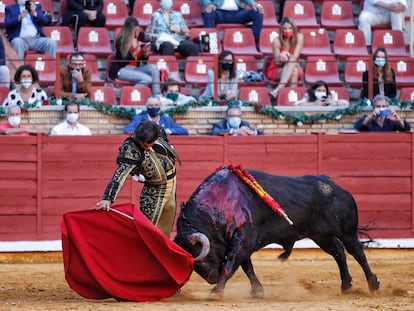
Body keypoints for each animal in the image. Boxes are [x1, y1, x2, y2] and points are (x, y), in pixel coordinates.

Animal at [173, 169, 380, 302]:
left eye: (200, 259)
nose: (212, 278)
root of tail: (338, 188)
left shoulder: (242, 240)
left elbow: (231, 264)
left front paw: (216, 292)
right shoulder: (244, 242)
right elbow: (247, 268)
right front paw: (257, 291)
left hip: (347, 232)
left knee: (358, 253)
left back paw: (373, 284)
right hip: (322, 236)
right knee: (338, 252)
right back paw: (346, 285)